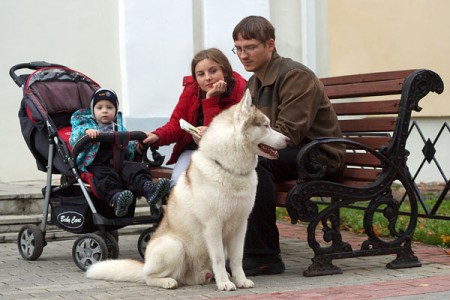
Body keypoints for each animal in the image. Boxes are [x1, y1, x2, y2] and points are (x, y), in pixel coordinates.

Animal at [86, 89, 288, 290]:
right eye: (266, 125)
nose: (287, 139)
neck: (229, 169)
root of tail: (145, 264)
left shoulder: (240, 225)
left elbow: (237, 258)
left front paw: (240, 280)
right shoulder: (213, 226)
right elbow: (219, 259)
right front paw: (224, 282)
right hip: (175, 247)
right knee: (149, 277)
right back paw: (168, 281)